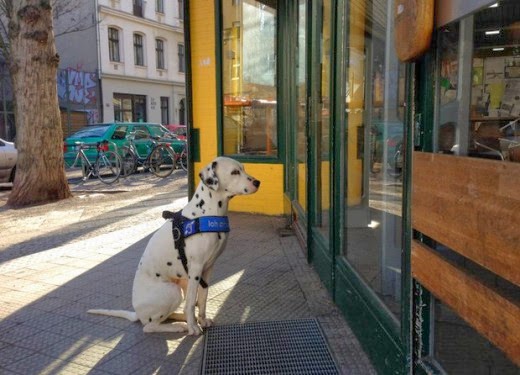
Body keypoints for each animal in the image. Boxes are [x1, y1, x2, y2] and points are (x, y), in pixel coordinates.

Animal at [89, 157, 262, 336]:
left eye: (243, 168)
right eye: (234, 172)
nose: (258, 182)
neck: (206, 212)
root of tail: (137, 313)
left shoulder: (208, 269)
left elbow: (203, 299)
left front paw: (202, 320)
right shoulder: (195, 270)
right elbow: (192, 302)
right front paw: (194, 327)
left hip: (181, 284)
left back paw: (182, 318)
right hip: (172, 291)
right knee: (150, 326)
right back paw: (179, 325)